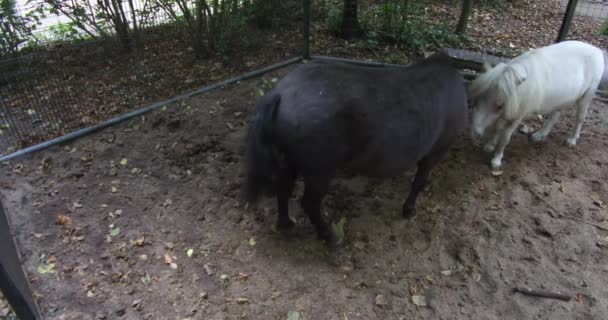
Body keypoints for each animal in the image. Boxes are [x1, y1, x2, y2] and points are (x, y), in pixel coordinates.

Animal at [470, 40, 604, 171]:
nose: (475, 133)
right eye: (478, 100)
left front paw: (496, 161)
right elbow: (497, 128)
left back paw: (572, 140)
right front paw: (490, 146)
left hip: (586, 96)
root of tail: (597, 51)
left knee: (579, 118)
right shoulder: (509, 109)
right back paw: (540, 135)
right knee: (555, 115)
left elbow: (505, 138)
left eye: (499, 106)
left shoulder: (516, 115)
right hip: (563, 98)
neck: (521, 87)